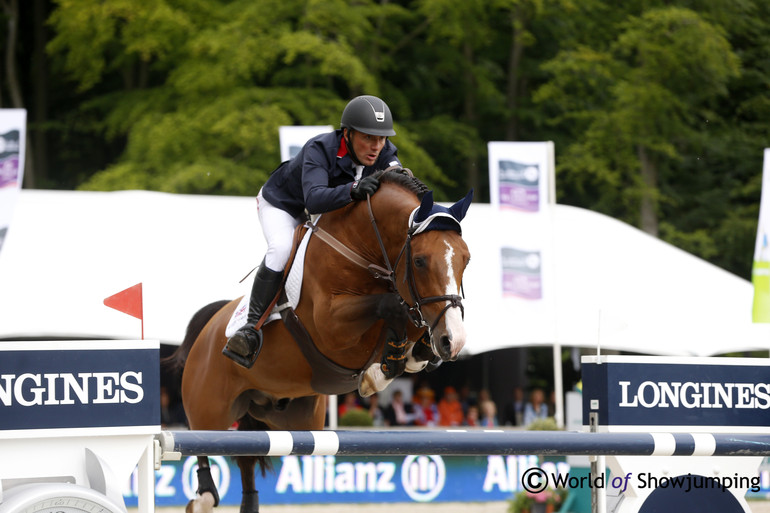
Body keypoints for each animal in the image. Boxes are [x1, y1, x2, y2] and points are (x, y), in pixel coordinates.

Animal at [165, 168, 472, 512]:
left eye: (466, 259)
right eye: (419, 261)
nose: (454, 341)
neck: (362, 249)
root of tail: (208, 327)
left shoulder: (412, 307)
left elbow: (408, 319)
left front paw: (411, 356)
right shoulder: (333, 327)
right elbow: (390, 305)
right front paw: (377, 373)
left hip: (289, 420)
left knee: (245, 456)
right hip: (211, 409)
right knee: (202, 444)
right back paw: (202, 497)